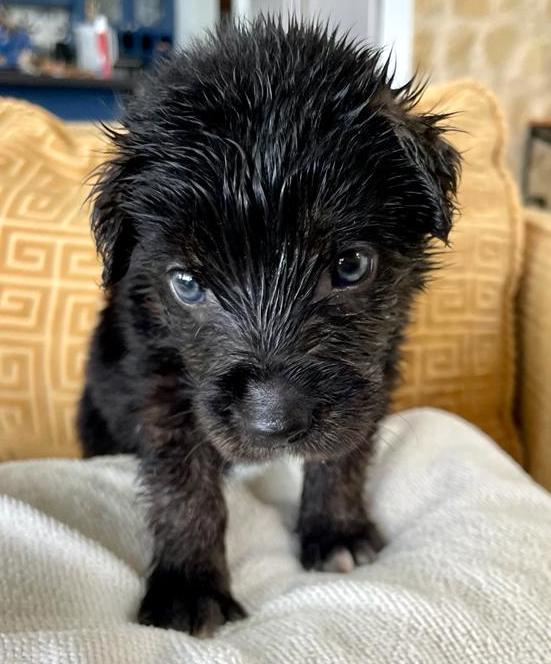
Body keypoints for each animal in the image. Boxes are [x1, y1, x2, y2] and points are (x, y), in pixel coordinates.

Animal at [76, 18, 458, 636]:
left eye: (351, 265)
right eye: (187, 283)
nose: (275, 424)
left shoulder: (375, 366)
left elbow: (345, 451)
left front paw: (336, 529)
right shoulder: (159, 374)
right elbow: (183, 480)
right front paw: (189, 585)